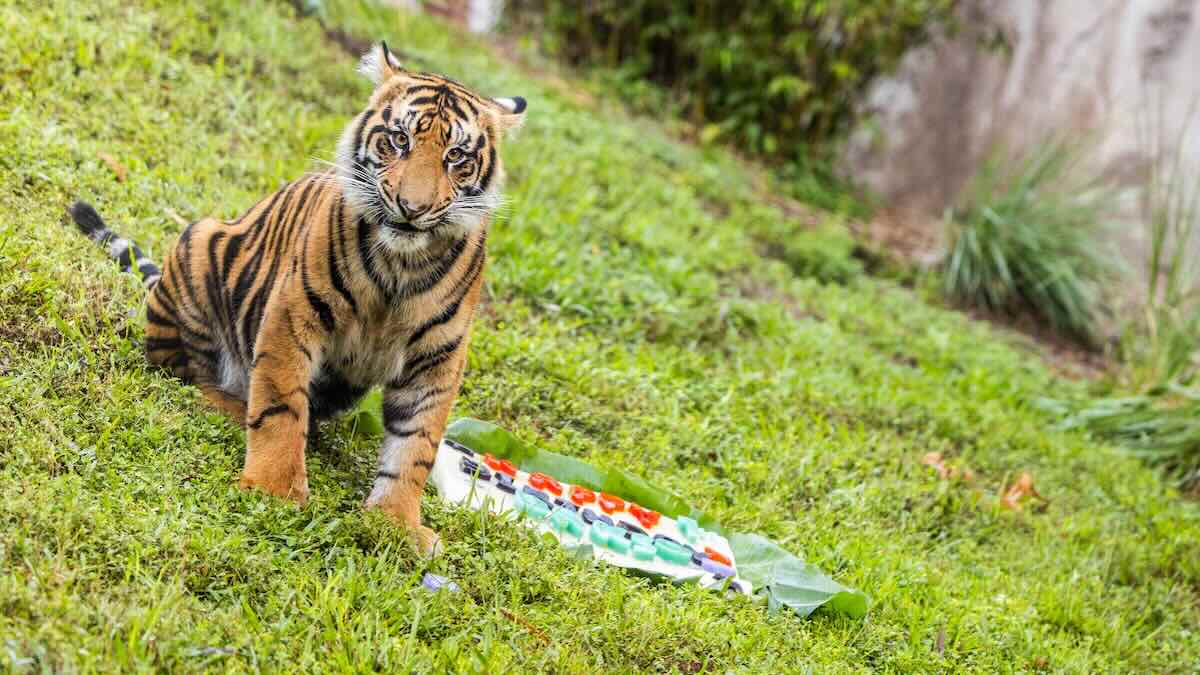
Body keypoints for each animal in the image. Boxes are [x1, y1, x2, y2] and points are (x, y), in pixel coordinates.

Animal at [67, 42, 526, 555]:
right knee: (187, 375)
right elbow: (279, 405)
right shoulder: (294, 314)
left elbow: (415, 446)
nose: (413, 208)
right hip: (197, 245)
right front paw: (274, 490)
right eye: (399, 139)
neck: (400, 264)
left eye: (456, 155)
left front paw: (396, 523)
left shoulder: (437, 358)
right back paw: (231, 406)